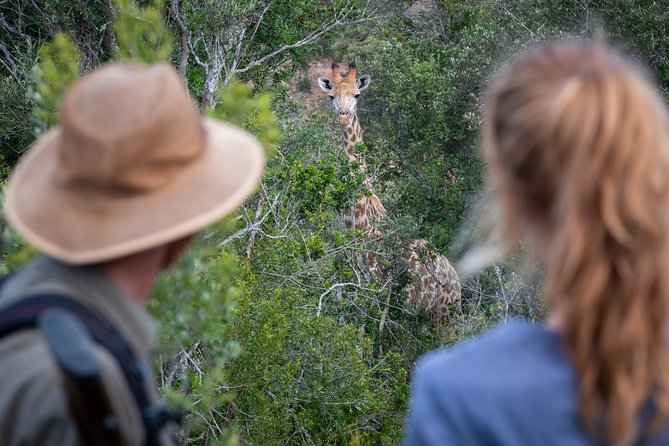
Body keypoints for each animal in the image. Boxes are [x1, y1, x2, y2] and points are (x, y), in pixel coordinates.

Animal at [317, 62, 461, 325]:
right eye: (331, 96)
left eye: (357, 95)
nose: (343, 117)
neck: (358, 225)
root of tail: (458, 283)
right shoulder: (346, 292)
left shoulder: (378, 294)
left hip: (443, 318)